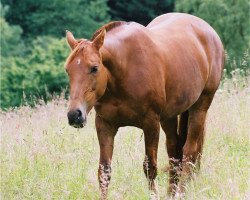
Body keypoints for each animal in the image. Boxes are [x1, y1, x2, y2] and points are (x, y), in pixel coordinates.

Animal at [64, 12, 225, 198]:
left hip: (200, 107)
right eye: (67, 70)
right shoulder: (104, 125)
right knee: (174, 151)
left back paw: (181, 193)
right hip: (169, 117)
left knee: (189, 153)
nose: (74, 115)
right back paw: (171, 193)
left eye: (94, 68)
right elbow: (104, 171)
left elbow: (150, 167)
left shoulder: (151, 124)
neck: (124, 70)